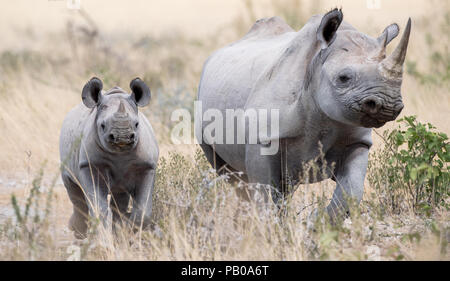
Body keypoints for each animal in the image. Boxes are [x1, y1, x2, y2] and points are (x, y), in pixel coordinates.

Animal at [59, 76, 159, 236]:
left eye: (137, 124)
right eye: (102, 125)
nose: (122, 137)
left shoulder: (146, 167)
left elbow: (143, 211)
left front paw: (130, 233)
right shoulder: (90, 165)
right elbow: (99, 208)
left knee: (119, 197)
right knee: (74, 190)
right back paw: (79, 233)